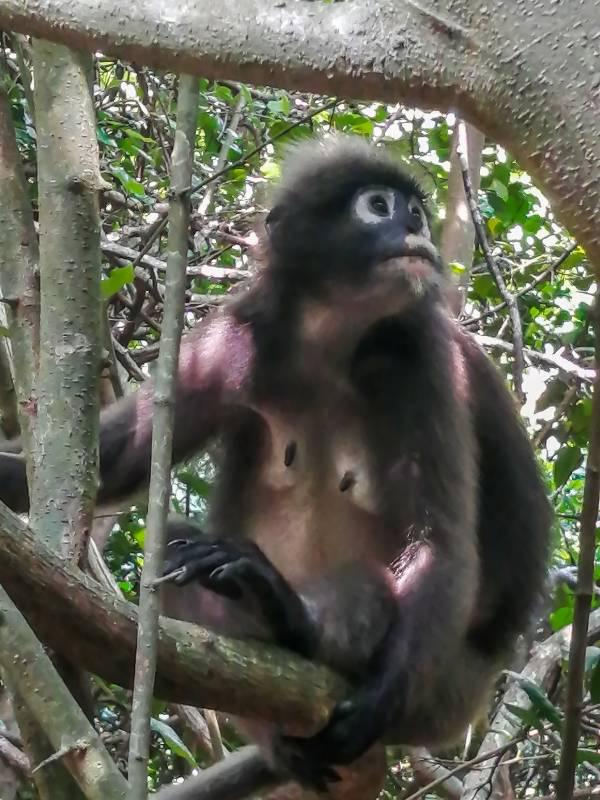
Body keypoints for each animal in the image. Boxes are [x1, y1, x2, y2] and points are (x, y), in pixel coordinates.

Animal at [0, 136, 551, 797]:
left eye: (416, 210)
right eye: (379, 205)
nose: (416, 226)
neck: (330, 338)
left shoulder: (415, 353)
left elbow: (438, 541)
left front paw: (375, 697)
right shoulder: (240, 334)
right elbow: (124, 459)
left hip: (445, 689)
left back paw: (288, 614)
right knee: (175, 551)